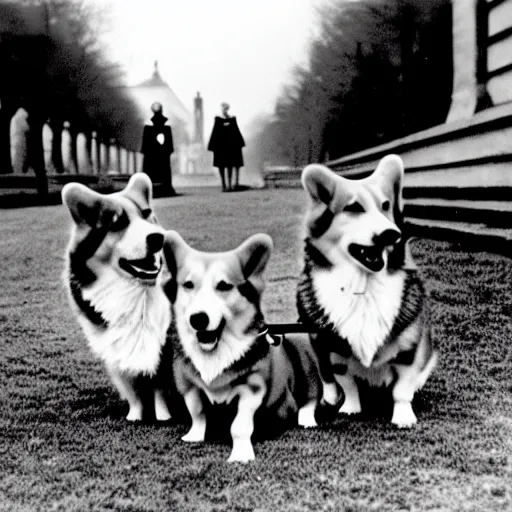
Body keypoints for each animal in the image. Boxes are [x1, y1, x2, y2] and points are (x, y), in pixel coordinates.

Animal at [296, 155, 436, 428]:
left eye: (385, 205)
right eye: (354, 207)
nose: (392, 234)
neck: (364, 285)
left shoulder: (409, 348)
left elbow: (401, 388)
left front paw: (404, 416)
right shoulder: (335, 352)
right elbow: (346, 382)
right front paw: (350, 407)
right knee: (325, 376)